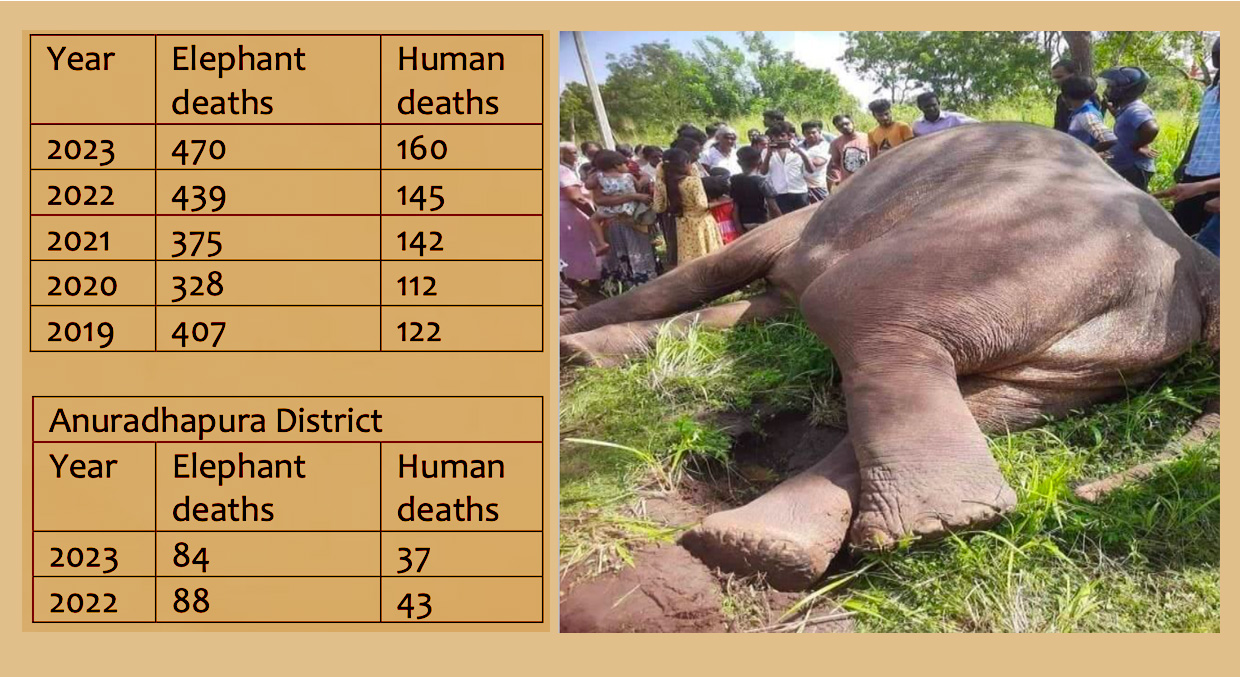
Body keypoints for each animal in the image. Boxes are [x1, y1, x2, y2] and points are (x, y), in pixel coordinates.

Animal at [559, 123, 1220, 591]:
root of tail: (1193, 256)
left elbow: (719, 275)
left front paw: (570, 349)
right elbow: (750, 305)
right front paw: (580, 354)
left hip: (1002, 250)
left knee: (854, 306)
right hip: (1111, 348)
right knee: (994, 400)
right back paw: (787, 548)